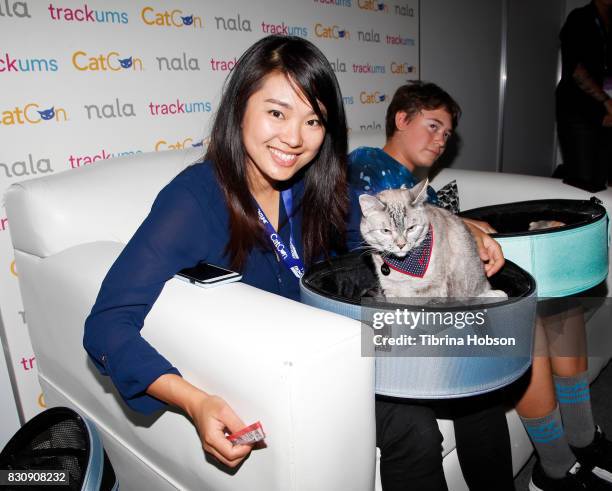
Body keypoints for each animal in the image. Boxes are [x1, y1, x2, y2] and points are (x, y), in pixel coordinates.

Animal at [358, 178, 506, 300]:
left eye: (411, 228)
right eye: (386, 231)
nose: (401, 245)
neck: (403, 267)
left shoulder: (430, 289)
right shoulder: (391, 290)